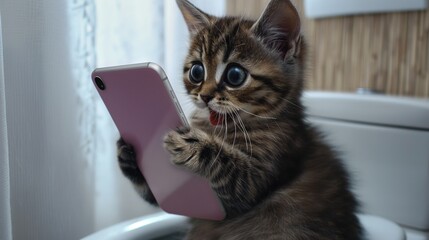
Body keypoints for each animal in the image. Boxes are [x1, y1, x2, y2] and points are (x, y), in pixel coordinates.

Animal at [116, 0, 362, 239]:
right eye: (196, 71)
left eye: (235, 75)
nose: (205, 96)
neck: (223, 125)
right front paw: (126, 153)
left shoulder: (260, 174)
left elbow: (232, 174)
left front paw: (196, 145)